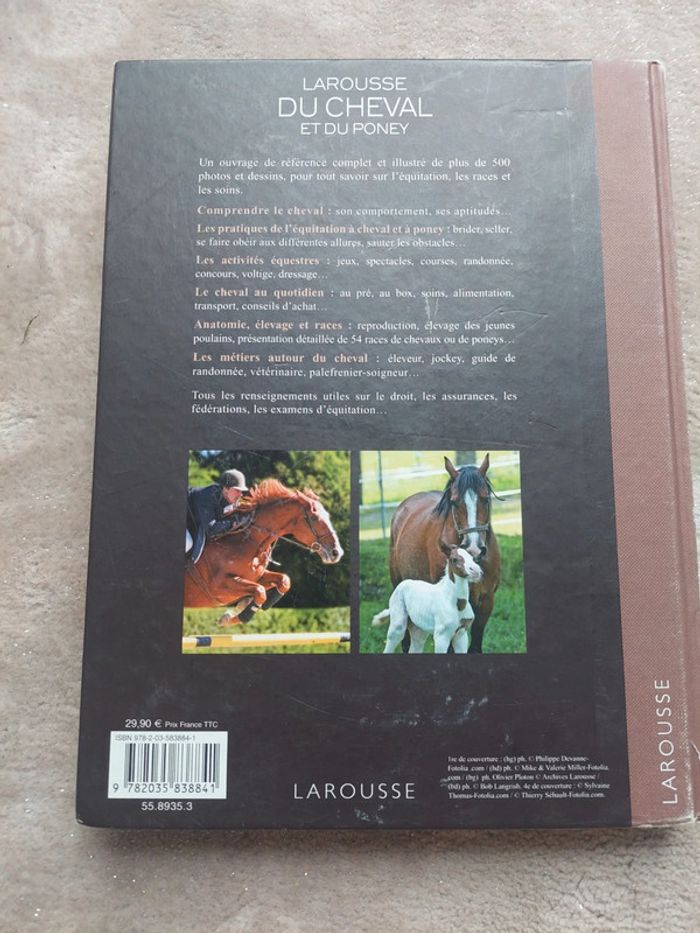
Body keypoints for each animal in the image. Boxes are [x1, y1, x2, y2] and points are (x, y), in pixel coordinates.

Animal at [184, 478, 343, 625]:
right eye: (314, 518)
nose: (336, 552)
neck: (247, 542)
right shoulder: (219, 586)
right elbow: (260, 592)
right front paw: (232, 618)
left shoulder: (257, 576)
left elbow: (284, 580)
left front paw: (236, 610)